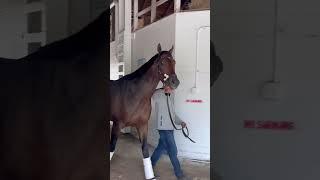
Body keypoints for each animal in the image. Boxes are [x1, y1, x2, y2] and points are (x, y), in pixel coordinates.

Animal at [110, 43, 180, 179]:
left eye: (174, 62)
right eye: (162, 62)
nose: (175, 82)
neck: (135, 94)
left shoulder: (142, 125)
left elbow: (145, 151)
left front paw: (150, 176)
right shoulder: (117, 125)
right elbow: (112, 147)